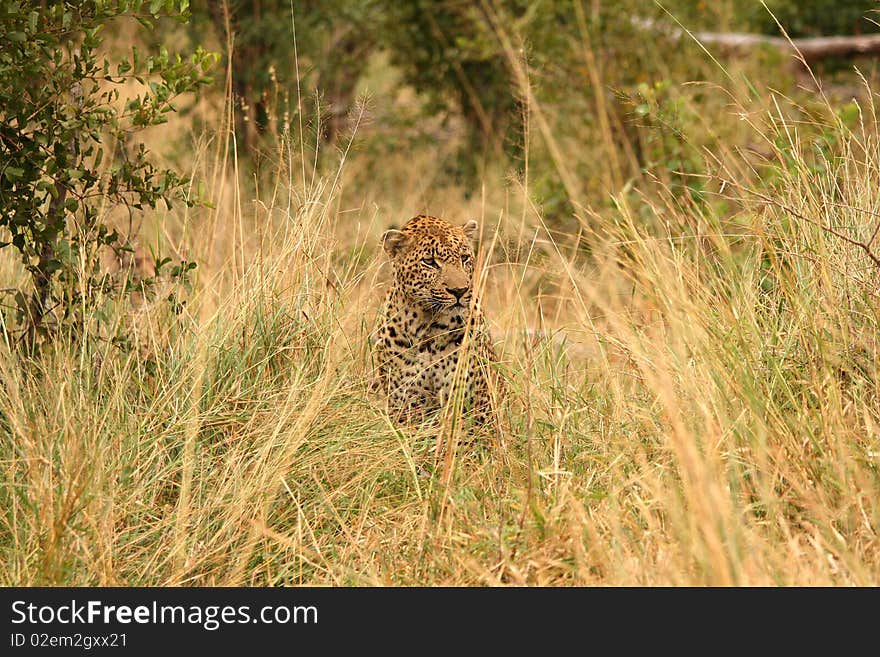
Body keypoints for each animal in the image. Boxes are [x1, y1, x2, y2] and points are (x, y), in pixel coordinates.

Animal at [372, 213, 502, 422]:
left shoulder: (477, 404)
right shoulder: (405, 405)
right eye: (430, 262)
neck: (427, 326)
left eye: (465, 258)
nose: (460, 291)